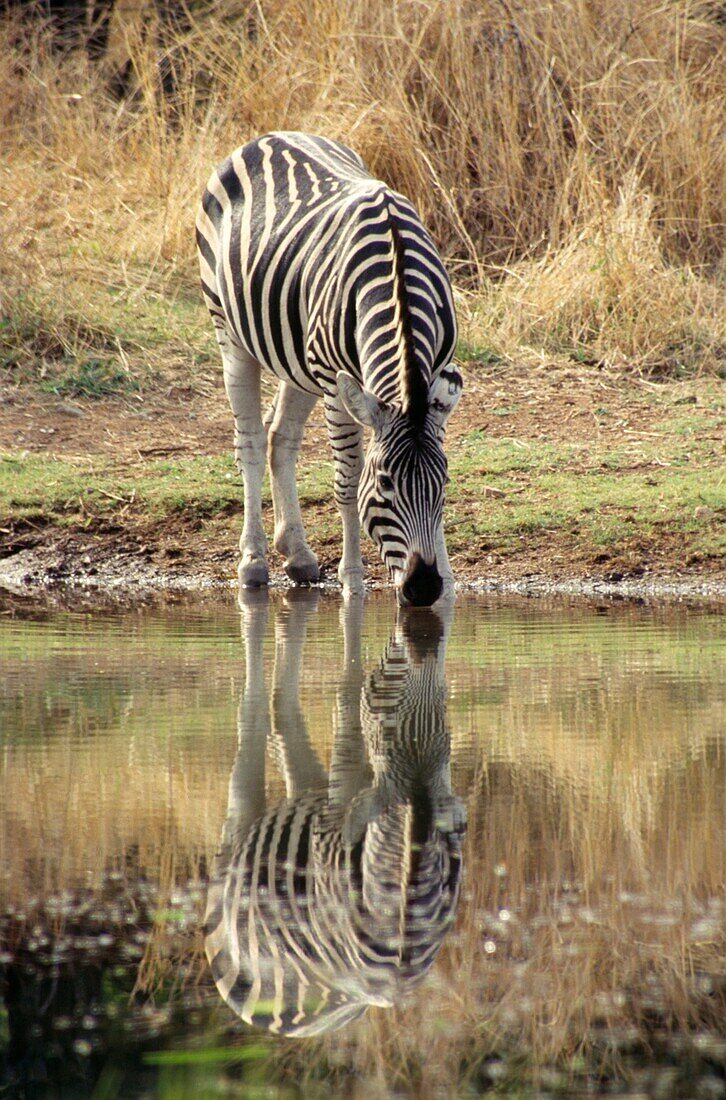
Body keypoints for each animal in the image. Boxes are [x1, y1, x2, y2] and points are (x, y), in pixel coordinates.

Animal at [195, 135, 462, 611]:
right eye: (385, 484)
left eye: (442, 483)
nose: (423, 587)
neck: (396, 275)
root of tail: (270, 137)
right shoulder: (338, 389)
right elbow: (347, 480)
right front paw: (353, 582)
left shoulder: (436, 379)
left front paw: (449, 584)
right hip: (230, 333)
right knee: (250, 442)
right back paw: (253, 562)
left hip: (297, 360)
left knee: (281, 436)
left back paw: (298, 555)